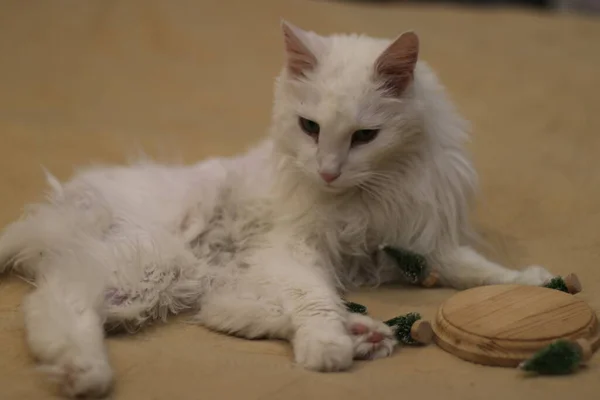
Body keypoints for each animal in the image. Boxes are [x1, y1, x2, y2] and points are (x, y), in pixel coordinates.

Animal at [0, 22, 552, 400]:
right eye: (310, 128)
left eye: (364, 137)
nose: (327, 171)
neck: (364, 198)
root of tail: (60, 204)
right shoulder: (292, 248)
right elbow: (314, 300)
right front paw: (325, 349)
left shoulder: (418, 243)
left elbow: (474, 270)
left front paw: (535, 283)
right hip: (147, 269)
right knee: (55, 306)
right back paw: (85, 375)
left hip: (193, 286)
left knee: (237, 316)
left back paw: (366, 334)